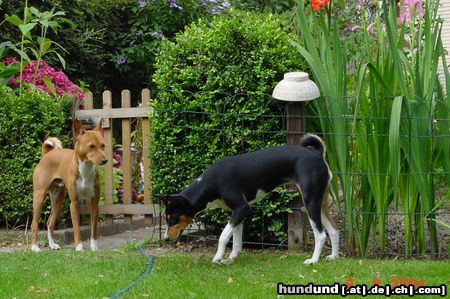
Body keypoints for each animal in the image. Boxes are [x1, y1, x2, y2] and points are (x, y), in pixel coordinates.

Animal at [30, 119, 107, 253]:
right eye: (91, 146)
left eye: (103, 146)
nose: (105, 160)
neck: (85, 170)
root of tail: (47, 154)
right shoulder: (74, 203)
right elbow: (76, 228)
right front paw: (79, 246)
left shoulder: (94, 203)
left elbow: (94, 229)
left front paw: (94, 247)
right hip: (39, 197)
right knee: (34, 224)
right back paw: (35, 247)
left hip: (58, 199)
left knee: (50, 223)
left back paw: (52, 245)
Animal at [160, 135, 340, 264]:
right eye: (166, 219)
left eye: (173, 219)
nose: (166, 239)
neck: (213, 181)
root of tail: (316, 153)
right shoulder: (235, 213)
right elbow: (236, 240)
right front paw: (231, 259)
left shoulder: (242, 208)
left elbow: (223, 236)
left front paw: (218, 257)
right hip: (320, 202)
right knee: (333, 230)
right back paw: (333, 257)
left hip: (310, 202)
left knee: (321, 235)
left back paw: (313, 260)